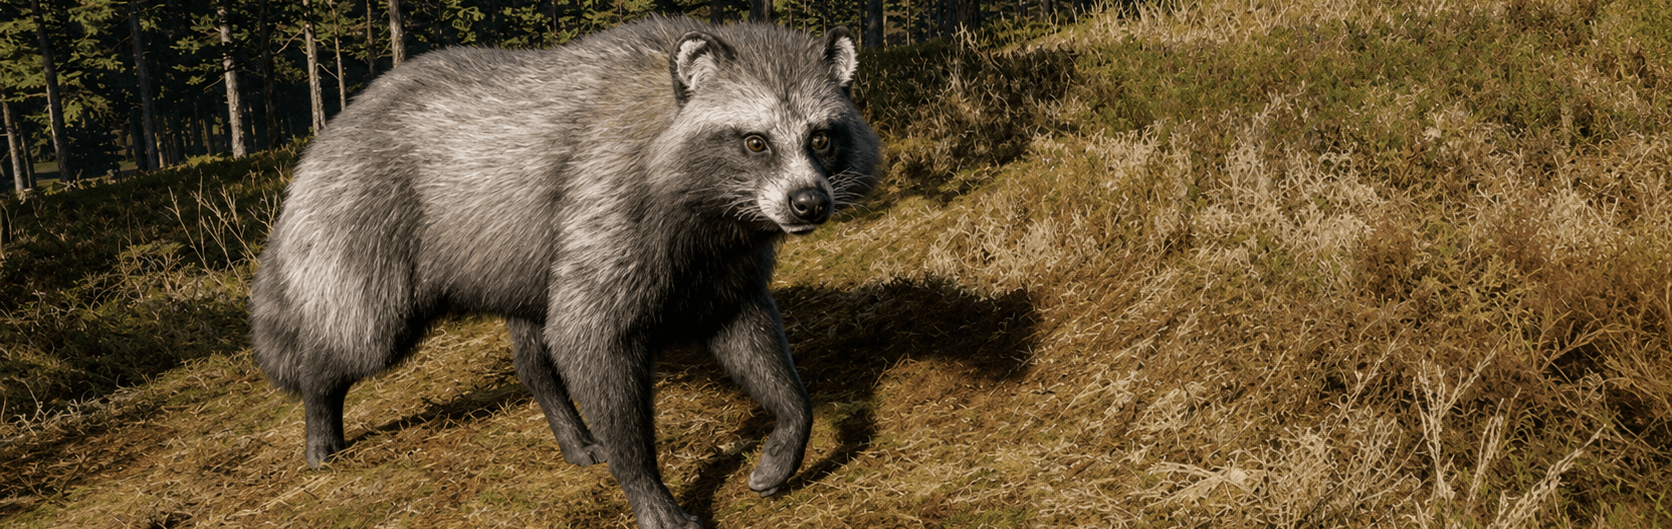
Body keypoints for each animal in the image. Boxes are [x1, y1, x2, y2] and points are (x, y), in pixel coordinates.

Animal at [248, 16, 881, 529]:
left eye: (821, 137)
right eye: (755, 142)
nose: (809, 204)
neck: (719, 213)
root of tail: (324, 140)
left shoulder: (720, 265)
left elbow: (751, 338)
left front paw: (789, 433)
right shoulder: (604, 202)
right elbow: (591, 339)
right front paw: (647, 489)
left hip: (521, 259)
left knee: (534, 353)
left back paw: (570, 431)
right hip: (365, 227)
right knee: (360, 335)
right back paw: (319, 407)